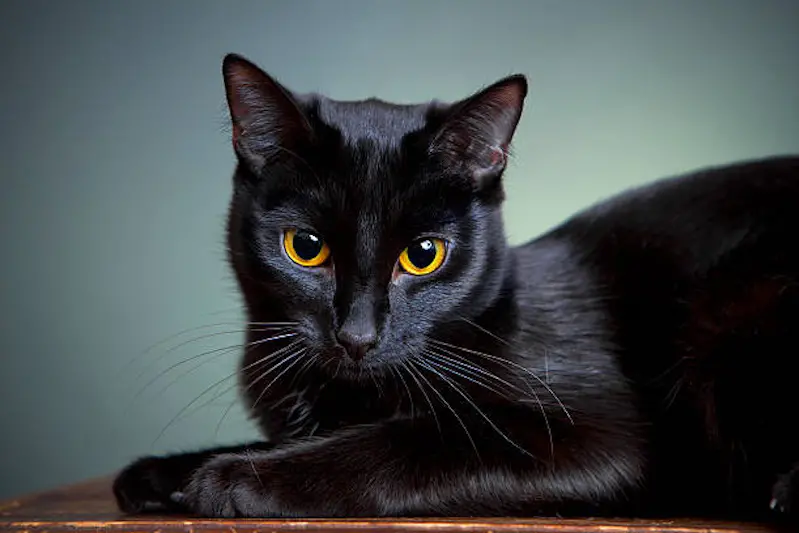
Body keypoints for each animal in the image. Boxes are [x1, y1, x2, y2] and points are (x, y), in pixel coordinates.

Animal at [112, 54, 799, 524]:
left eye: (423, 256)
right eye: (306, 248)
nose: (357, 335)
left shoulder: (599, 436)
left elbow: (413, 441)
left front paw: (233, 478)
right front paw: (161, 475)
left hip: (727, 310)